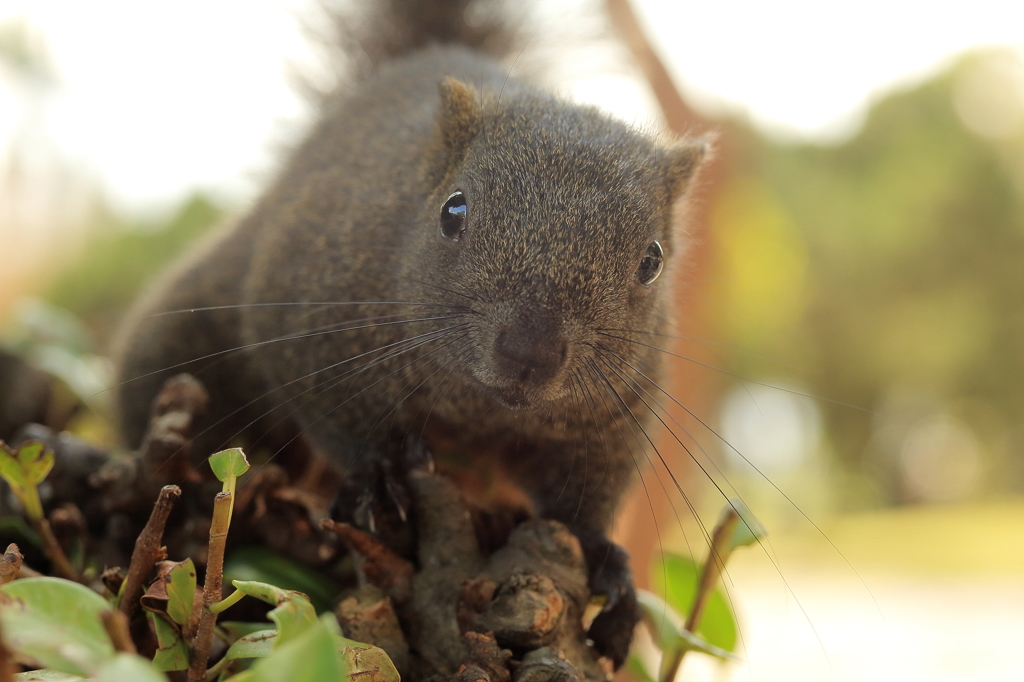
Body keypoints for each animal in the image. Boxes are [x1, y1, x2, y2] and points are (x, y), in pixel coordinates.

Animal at [110, 0, 704, 659]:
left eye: (653, 260)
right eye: (453, 211)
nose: (530, 352)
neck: (477, 405)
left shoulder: (608, 416)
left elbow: (580, 502)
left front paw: (606, 563)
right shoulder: (312, 322)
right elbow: (338, 412)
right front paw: (376, 472)